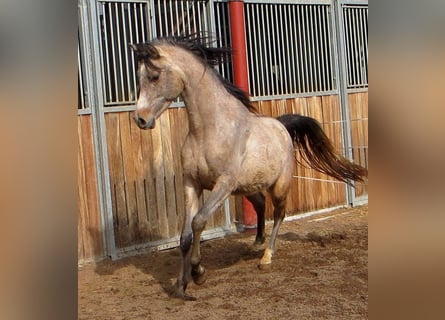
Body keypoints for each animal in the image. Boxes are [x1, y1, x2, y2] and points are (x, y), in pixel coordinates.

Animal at [129, 36, 368, 298]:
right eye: (138, 76)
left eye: (154, 76)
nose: (140, 119)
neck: (209, 130)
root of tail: (282, 127)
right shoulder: (191, 183)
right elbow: (185, 237)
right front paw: (181, 286)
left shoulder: (223, 185)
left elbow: (199, 221)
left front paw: (199, 273)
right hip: (247, 187)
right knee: (261, 204)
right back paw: (257, 242)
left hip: (278, 187)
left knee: (279, 214)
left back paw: (266, 257)